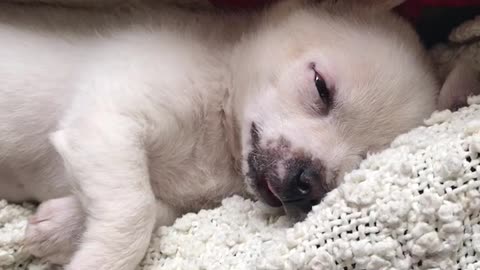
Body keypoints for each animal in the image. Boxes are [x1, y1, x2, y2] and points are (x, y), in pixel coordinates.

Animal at [0, 0, 474, 268]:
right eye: (320, 86)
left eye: (365, 159)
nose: (308, 182)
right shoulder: (105, 123)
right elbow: (133, 211)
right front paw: (95, 257)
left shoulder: (161, 185)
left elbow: (153, 208)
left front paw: (61, 227)